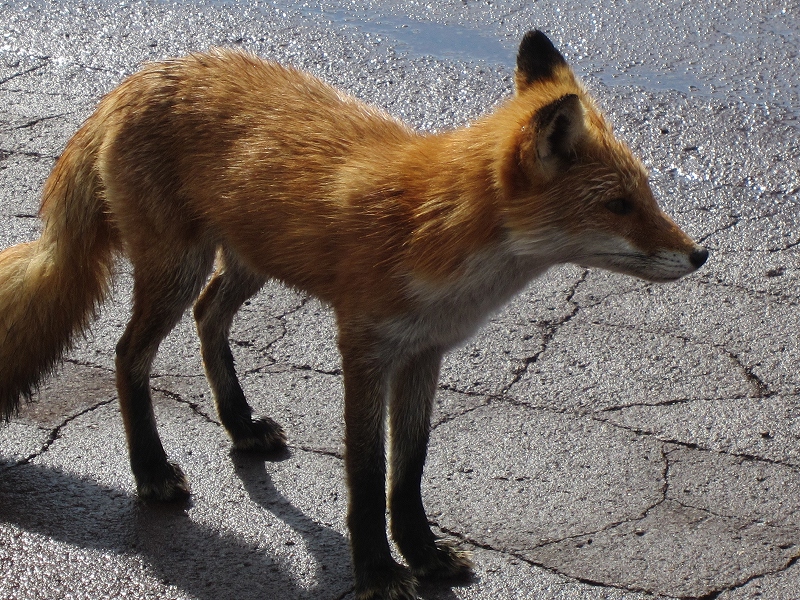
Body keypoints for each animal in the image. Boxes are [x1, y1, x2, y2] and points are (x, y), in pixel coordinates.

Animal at [3, 31, 708, 600]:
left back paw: (240, 424)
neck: (439, 235)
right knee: (129, 354)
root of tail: (137, 78)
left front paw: (422, 555)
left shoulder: (426, 352)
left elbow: (409, 470)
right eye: (618, 205)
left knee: (209, 318)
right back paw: (150, 471)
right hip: (179, 267)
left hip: (246, 262)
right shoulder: (365, 347)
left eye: (647, 195)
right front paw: (378, 572)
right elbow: (368, 476)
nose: (701, 254)